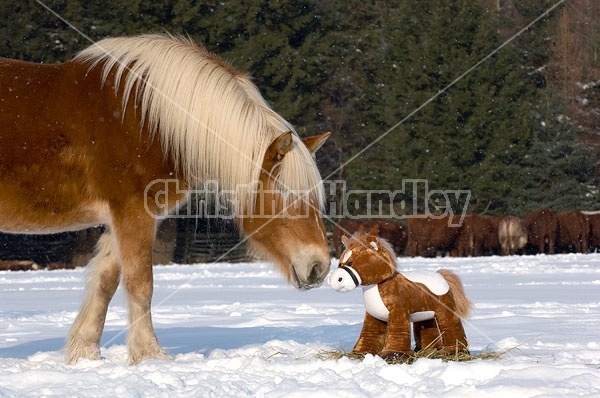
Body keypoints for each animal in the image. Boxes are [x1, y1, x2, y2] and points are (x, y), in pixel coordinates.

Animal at [0, 35, 332, 364]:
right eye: (287, 196)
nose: (320, 267)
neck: (149, 120)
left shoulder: (121, 220)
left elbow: (106, 281)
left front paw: (86, 353)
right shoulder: (133, 212)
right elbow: (140, 283)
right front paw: (150, 355)